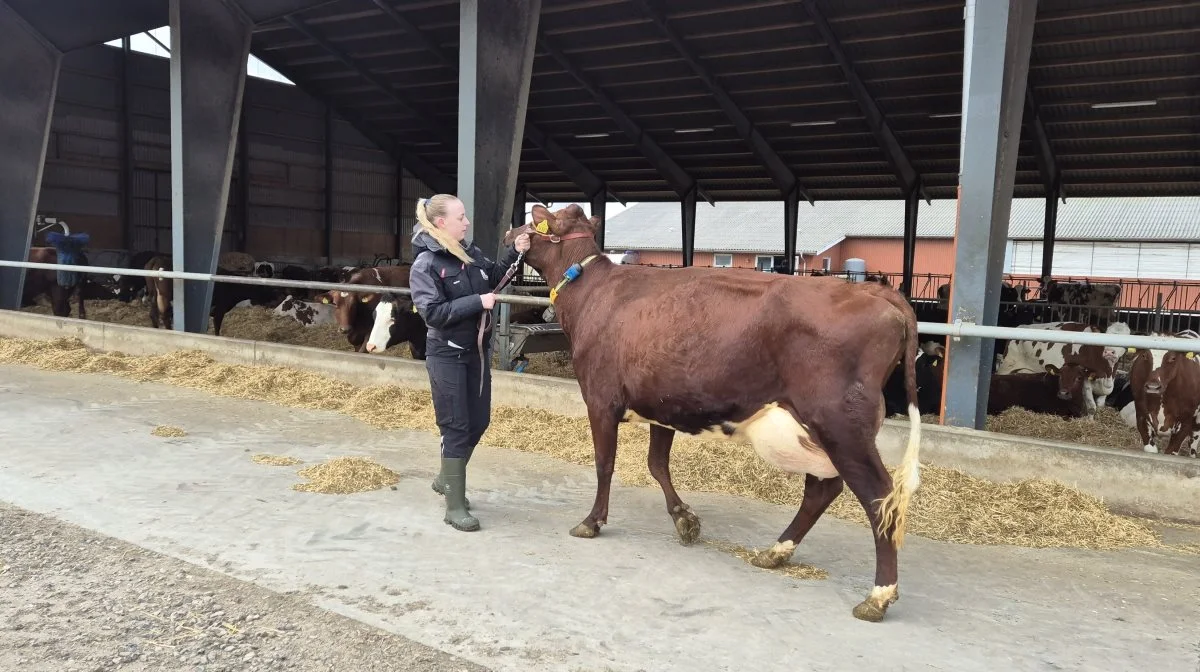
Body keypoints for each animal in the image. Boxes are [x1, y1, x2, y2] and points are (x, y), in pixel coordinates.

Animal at [501, 205, 921, 624]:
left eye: (533, 219)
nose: (508, 234)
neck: (593, 291)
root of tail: (875, 291)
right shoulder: (662, 403)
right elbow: (657, 464)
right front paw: (684, 519)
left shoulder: (600, 398)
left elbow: (605, 463)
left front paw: (592, 521)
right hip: (819, 430)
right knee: (822, 489)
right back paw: (776, 552)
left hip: (842, 426)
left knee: (878, 496)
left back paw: (878, 595)